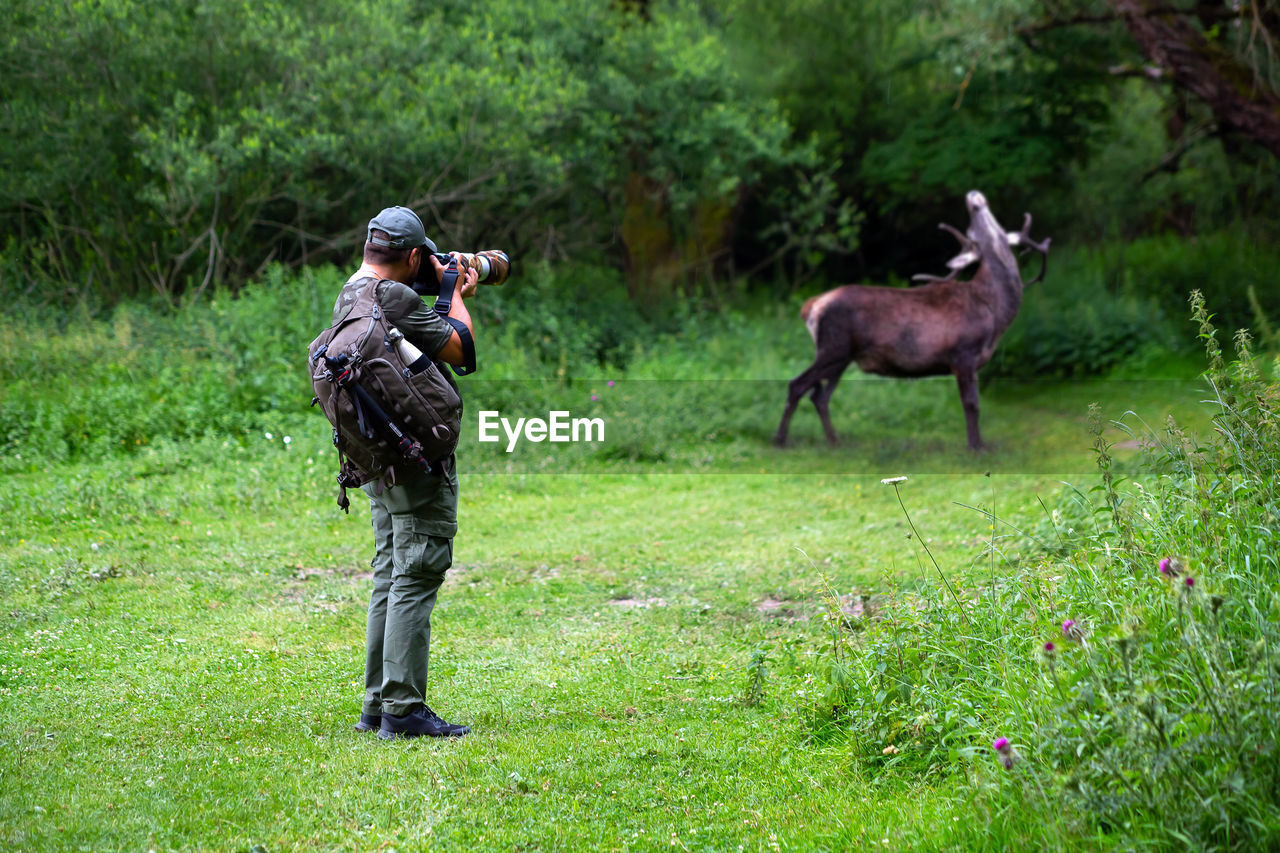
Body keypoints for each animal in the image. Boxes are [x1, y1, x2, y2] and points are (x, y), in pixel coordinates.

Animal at [768, 188, 1049, 448]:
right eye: (972, 231)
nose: (974, 196)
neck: (995, 313)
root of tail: (811, 306)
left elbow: (974, 404)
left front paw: (978, 444)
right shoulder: (963, 354)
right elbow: (971, 404)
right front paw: (976, 447)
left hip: (841, 357)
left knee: (819, 396)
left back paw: (834, 441)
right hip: (833, 348)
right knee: (797, 385)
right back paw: (780, 440)